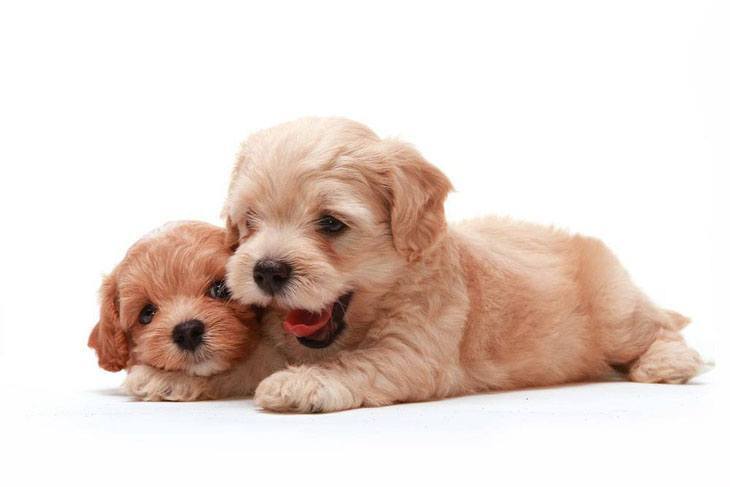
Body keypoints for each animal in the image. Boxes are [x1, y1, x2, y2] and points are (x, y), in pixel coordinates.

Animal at [218, 118, 704, 412]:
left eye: (331, 223)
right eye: (250, 221)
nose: (266, 271)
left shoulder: (411, 354)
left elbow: (355, 365)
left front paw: (299, 384)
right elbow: (242, 363)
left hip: (616, 312)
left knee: (662, 327)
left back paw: (667, 364)